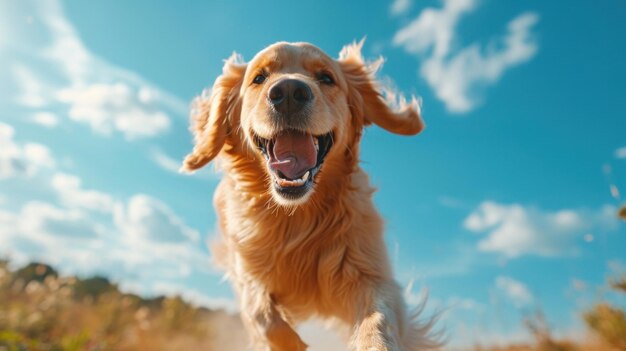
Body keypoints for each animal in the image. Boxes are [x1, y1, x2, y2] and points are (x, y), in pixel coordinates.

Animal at [179, 42, 434, 351]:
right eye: (259, 77)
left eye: (326, 78)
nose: (289, 93)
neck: (297, 215)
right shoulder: (248, 271)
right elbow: (261, 313)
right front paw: (290, 343)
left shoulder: (370, 272)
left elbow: (378, 320)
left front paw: (375, 343)